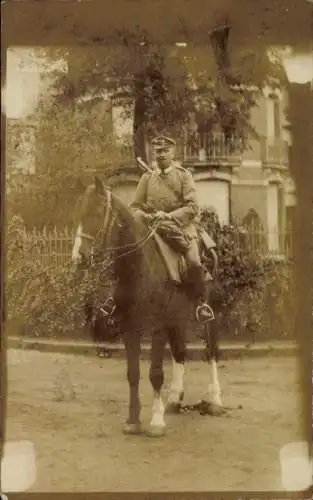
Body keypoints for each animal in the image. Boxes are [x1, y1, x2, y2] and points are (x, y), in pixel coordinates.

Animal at [72, 177, 223, 438]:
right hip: (176, 317)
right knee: (180, 351)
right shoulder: (128, 327)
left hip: (207, 314)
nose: (78, 257)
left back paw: (215, 399)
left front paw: (156, 421)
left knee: (211, 350)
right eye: (79, 211)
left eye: (97, 211)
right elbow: (133, 374)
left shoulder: (157, 327)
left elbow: (155, 373)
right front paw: (133, 421)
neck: (139, 265)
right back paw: (174, 399)